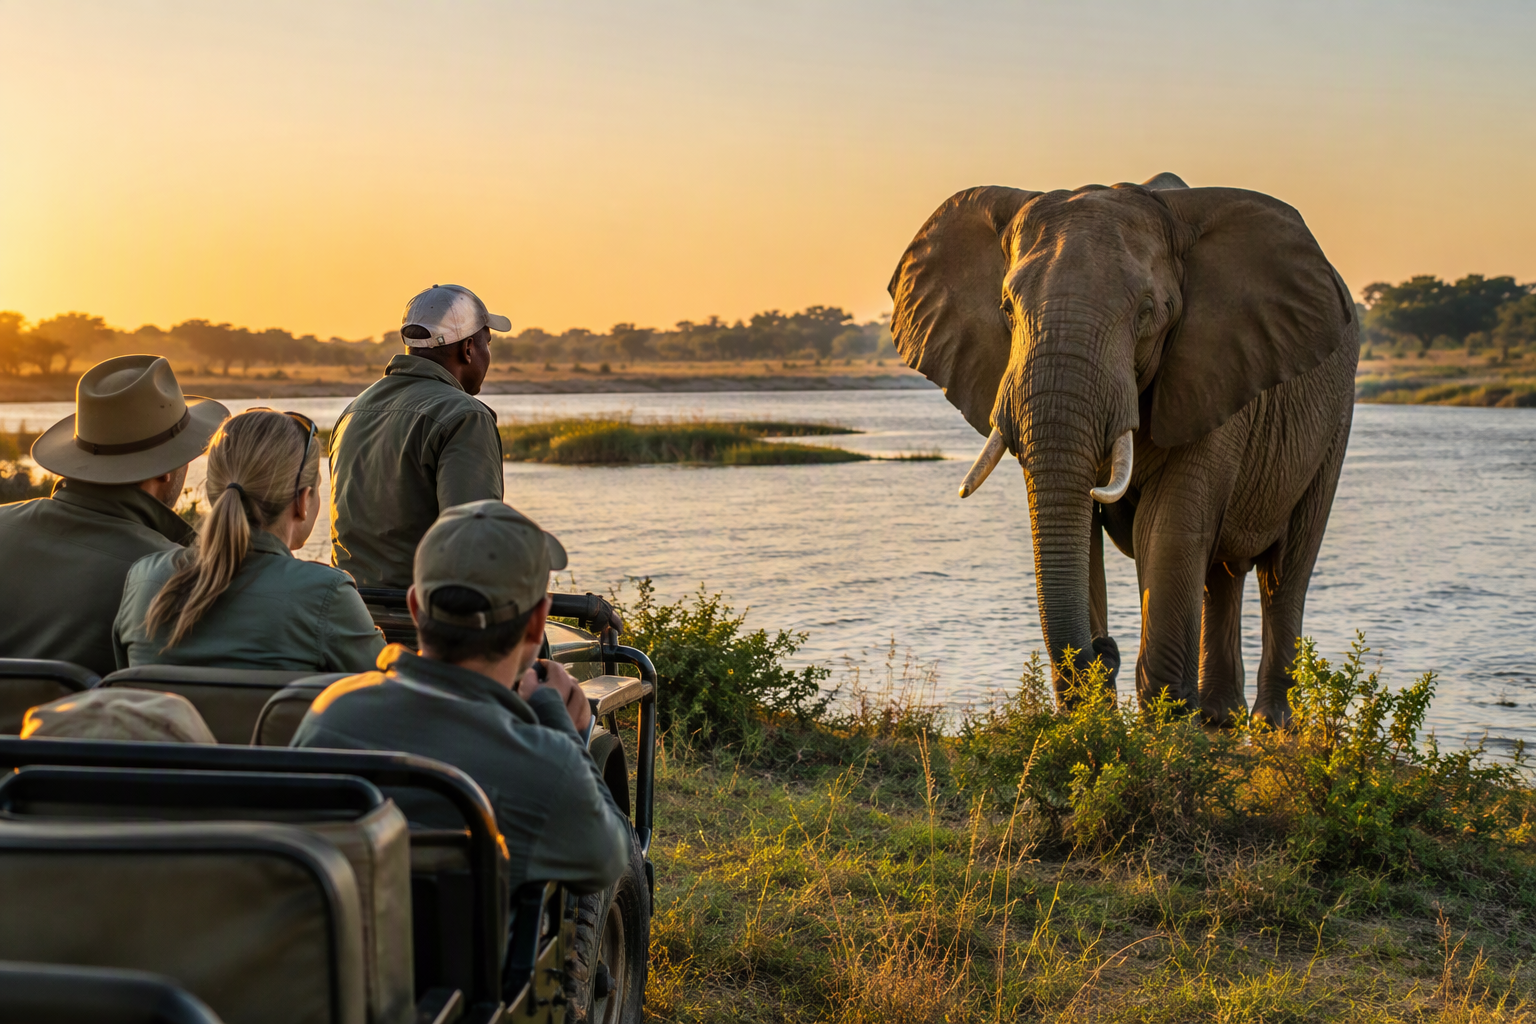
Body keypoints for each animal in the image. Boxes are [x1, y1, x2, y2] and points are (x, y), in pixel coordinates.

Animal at [888, 173, 1358, 726]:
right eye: (1005, 309)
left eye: (1148, 312)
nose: (1103, 651)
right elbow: (1081, 531)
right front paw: (1089, 719)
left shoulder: (1213, 370)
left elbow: (1168, 528)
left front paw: (1165, 725)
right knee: (1220, 575)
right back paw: (1219, 719)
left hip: (1335, 420)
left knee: (1285, 571)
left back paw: (1268, 725)